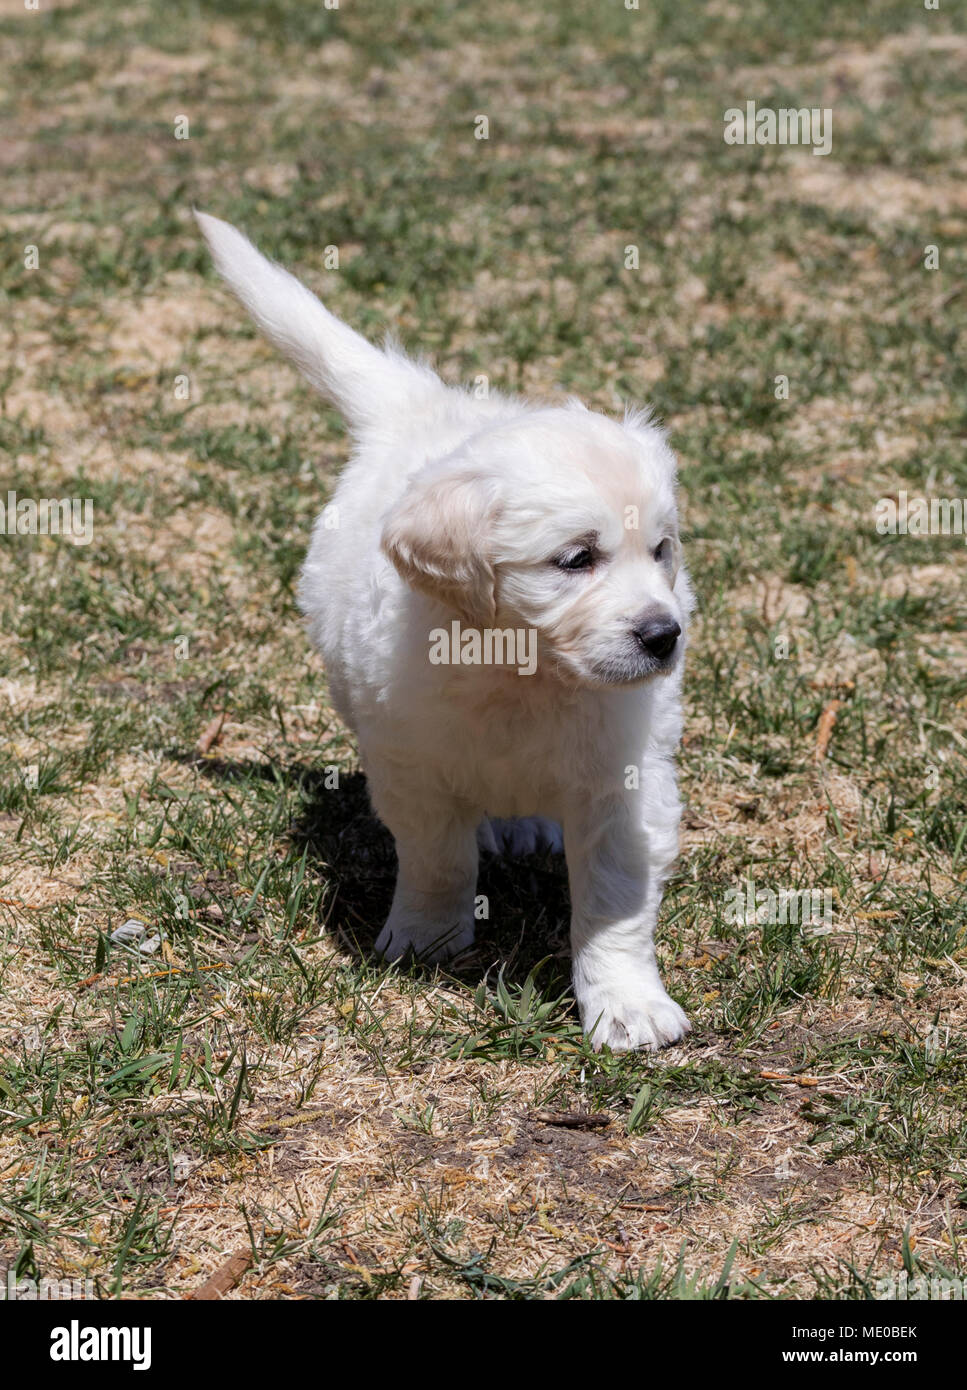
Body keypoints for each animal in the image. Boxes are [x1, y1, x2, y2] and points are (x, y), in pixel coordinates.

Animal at [198, 211, 694, 1045]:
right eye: (576, 559)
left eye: (660, 551)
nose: (664, 637)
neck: (520, 673)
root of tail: (426, 405)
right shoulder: (413, 764)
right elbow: (438, 859)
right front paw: (426, 939)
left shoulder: (622, 784)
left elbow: (612, 902)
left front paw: (625, 1004)